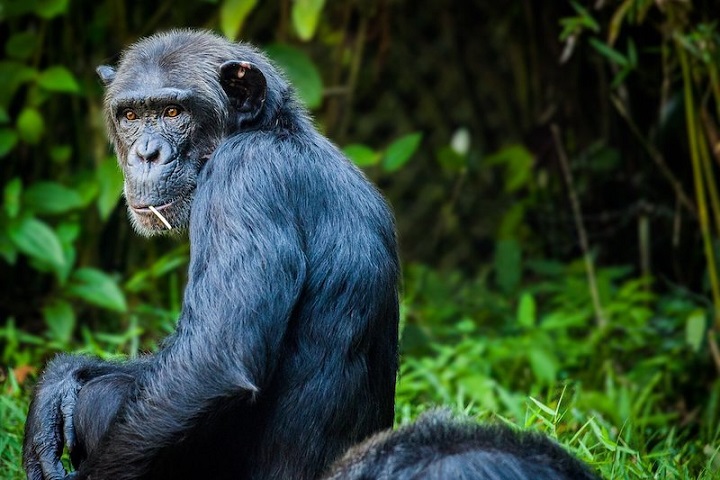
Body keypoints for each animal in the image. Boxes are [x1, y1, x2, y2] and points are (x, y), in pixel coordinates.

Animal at [23, 29, 400, 480]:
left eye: (172, 112)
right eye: (131, 116)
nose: (146, 153)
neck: (270, 130)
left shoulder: (242, 180)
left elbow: (210, 359)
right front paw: (57, 385)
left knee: (104, 398)